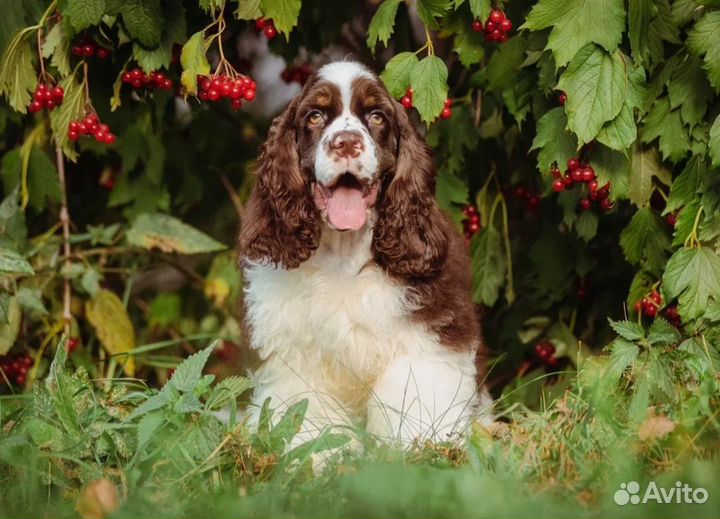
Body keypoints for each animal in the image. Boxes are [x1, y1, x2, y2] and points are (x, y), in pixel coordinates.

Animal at [239, 60, 492, 442]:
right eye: (315, 116)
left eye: (376, 116)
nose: (346, 142)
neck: (345, 255)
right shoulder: (296, 356)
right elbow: (306, 415)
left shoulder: (428, 335)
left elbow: (417, 402)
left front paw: (421, 449)